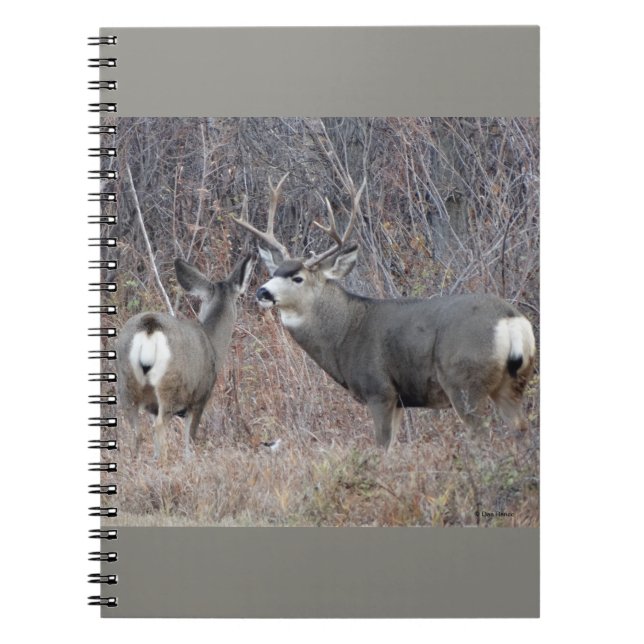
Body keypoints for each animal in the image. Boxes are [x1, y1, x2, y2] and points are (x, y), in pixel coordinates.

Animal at [116, 254, 254, 461]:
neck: (212, 344)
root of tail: (150, 326)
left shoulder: (152, 406)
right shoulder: (199, 398)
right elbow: (190, 443)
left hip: (126, 382)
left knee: (136, 433)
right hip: (169, 386)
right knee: (159, 426)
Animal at [231, 174, 536, 449]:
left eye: (298, 278)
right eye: (274, 272)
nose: (262, 292)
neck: (344, 332)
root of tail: (511, 321)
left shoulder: (379, 390)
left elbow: (382, 448)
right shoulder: (399, 400)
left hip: (464, 382)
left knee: (482, 435)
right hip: (513, 382)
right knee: (521, 429)